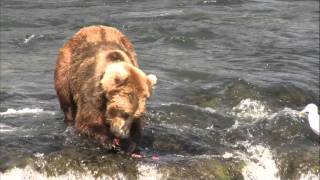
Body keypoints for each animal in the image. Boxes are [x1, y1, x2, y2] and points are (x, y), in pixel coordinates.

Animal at [54, 25, 157, 154]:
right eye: (124, 113)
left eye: (135, 116)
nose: (122, 134)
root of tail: (92, 27)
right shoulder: (92, 92)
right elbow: (87, 121)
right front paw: (110, 140)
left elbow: (138, 129)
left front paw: (129, 143)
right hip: (66, 65)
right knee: (66, 100)